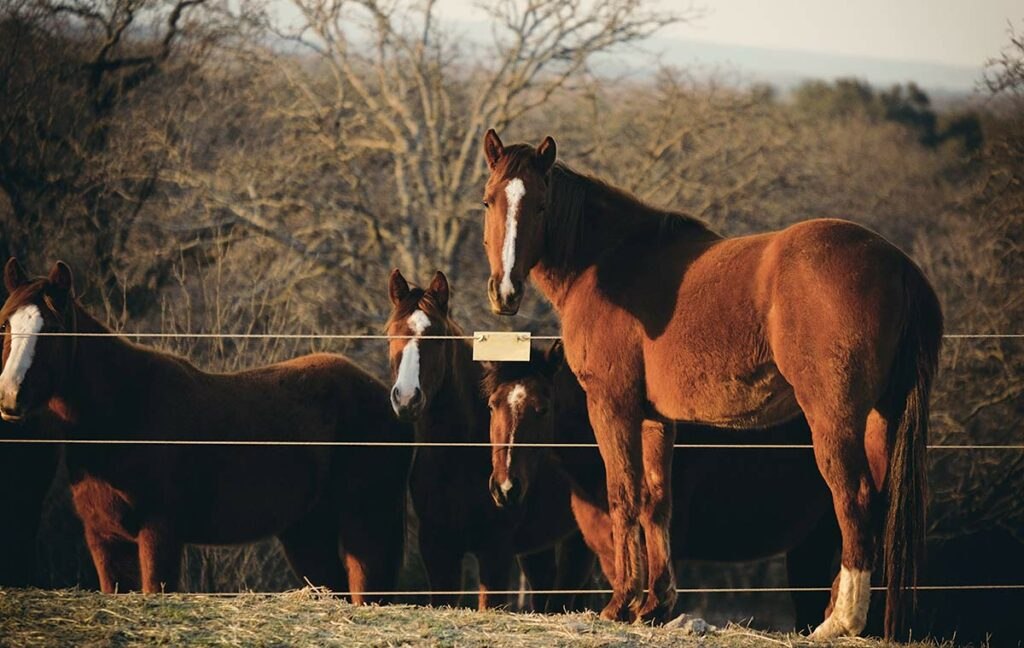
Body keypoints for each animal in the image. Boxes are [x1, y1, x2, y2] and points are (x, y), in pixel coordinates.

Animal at [3, 257, 415, 597]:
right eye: (6, 323)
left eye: (52, 329)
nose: (10, 395)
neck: (124, 410)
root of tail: (389, 398)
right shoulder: (104, 538)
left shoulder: (159, 534)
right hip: (308, 531)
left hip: (367, 523)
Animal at [385, 268, 593, 610]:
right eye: (390, 334)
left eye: (436, 338)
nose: (406, 399)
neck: (458, 457)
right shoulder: (438, 551)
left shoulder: (495, 552)